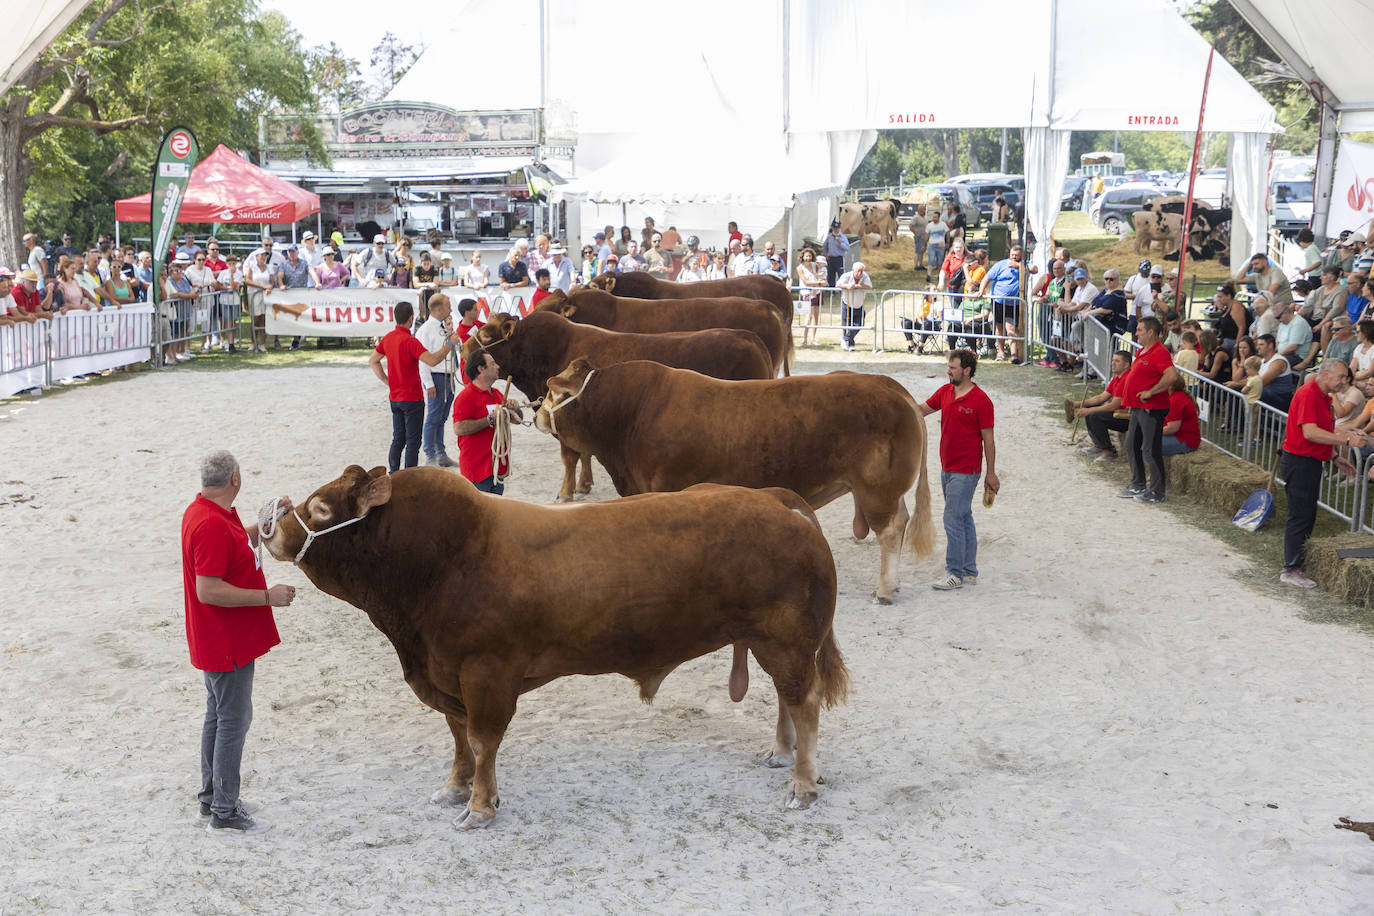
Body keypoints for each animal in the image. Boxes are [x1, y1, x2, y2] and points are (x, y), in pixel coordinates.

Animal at [258, 466, 846, 829]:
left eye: (320, 507)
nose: (269, 529)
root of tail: (776, 499)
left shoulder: (486, 673)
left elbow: (482, 739)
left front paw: (480, 806)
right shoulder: (446, 675)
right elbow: (458, 737)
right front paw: (455, 787)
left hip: (789, 641)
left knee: (805, 701)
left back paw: (803, 784)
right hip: (775, 643)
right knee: (787, 698)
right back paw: (781, 754)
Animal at [461, 313, 780, 502]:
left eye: (487, 335)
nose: (464, 350)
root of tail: (746, 336)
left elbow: (570, 457)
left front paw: (566, 491)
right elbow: (584, 454)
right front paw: (584, 483)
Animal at [530, 362, 939, 604]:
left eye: (551, 392)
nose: (535, 415)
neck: (632, 411)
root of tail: (891, 388)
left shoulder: (665, 485)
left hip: (876, 488)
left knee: (890, 531)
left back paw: (885, 589)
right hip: (887, 489)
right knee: (900, 521)